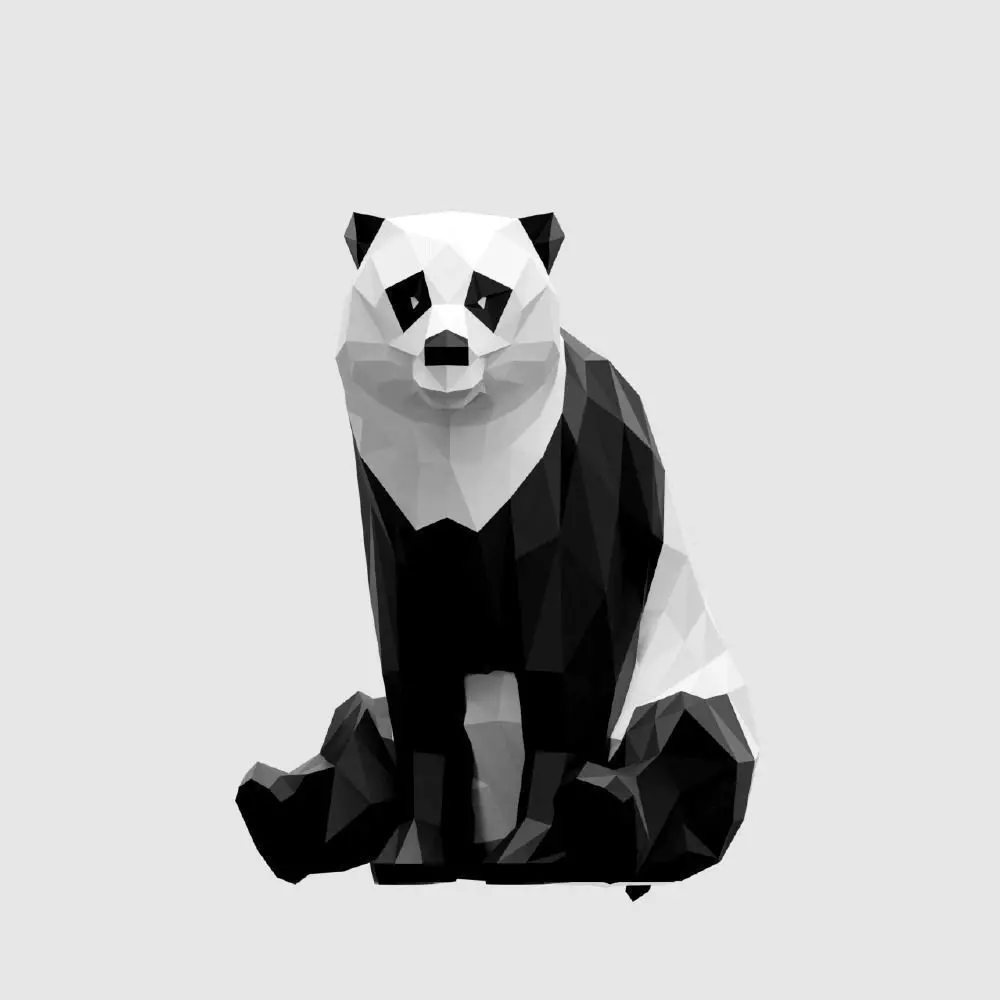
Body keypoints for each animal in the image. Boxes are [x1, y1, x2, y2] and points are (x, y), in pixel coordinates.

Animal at [236, 212, 758, 898]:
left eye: (488, 295)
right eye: (409, 295)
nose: (446, 351)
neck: (459, 450)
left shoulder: (574, 477)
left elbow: (569, 666)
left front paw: (535, 848)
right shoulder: (393, 513)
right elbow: (417, 682)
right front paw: (414, 852)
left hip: (688, 679)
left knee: (686, 737)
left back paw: (605, 818)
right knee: (359, 727)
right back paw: (285, 808)